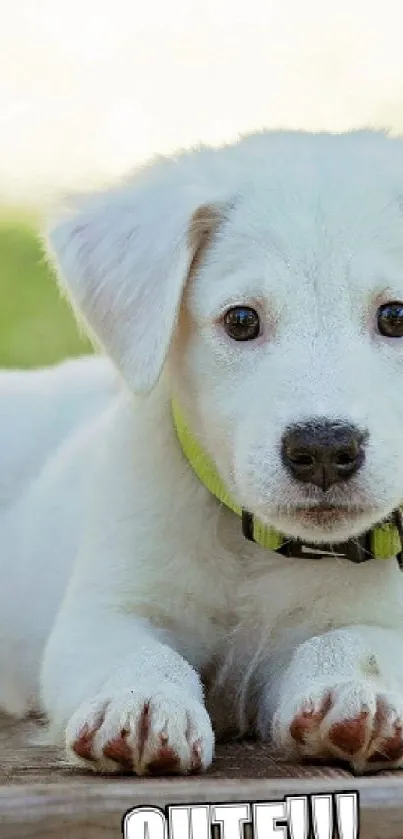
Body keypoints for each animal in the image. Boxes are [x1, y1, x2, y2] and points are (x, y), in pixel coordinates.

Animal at [2, 128, 403, 776]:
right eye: (241, 320)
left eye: (395, 315)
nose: (322, 448)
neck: (255, 548)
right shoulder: (106, 611)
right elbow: (137, 653)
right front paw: (140, 702)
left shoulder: (380, 616)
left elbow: (354, 639)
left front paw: (354, 690)